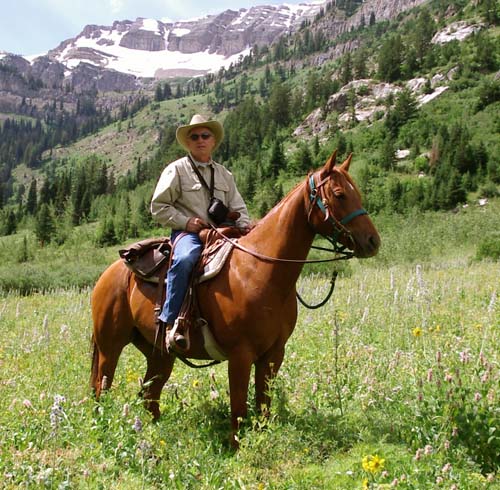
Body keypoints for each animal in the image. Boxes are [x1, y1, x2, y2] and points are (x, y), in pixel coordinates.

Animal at [91, 151, 378, 446]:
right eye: (339, 194)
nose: (372, 241)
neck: (259, 271)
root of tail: (110, 273)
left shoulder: (273, 354)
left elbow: (263, 406)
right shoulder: (240, 355)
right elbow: (239, 409)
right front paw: (237, 447)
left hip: (159, 353)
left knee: (150, 395)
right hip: (110, 345)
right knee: (102, 387)